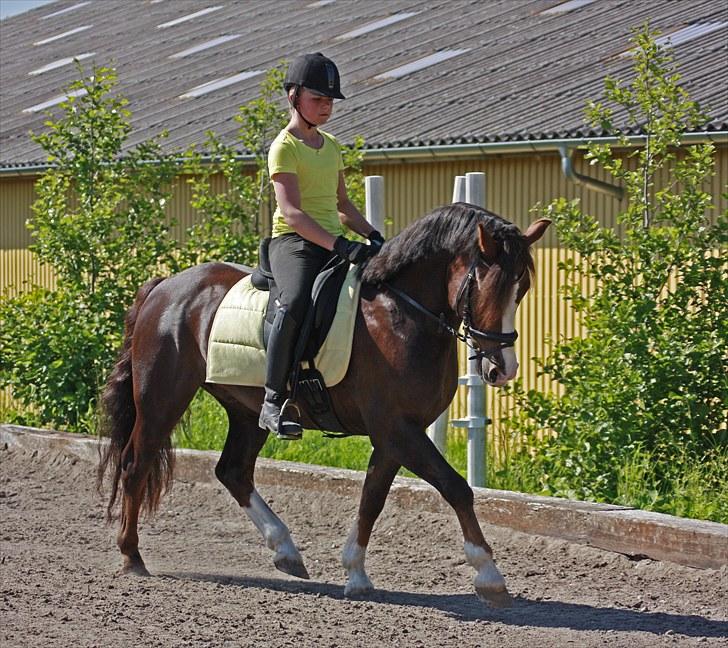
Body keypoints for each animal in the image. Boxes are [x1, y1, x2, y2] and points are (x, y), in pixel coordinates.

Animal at [98, 202, 552, 608]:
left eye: (523, 289)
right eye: (492, 288)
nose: (502, 369)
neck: (403, 313)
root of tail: (165, 286)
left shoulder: (394, 436)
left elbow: (372, 498)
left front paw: (356, 573)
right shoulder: (398, 430)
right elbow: (456, 488)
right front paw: (489, 576)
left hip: (246, 411)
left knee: (233, 471)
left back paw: (286, 551)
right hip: (162, 398)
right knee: (136, 464)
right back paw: (132, 556)